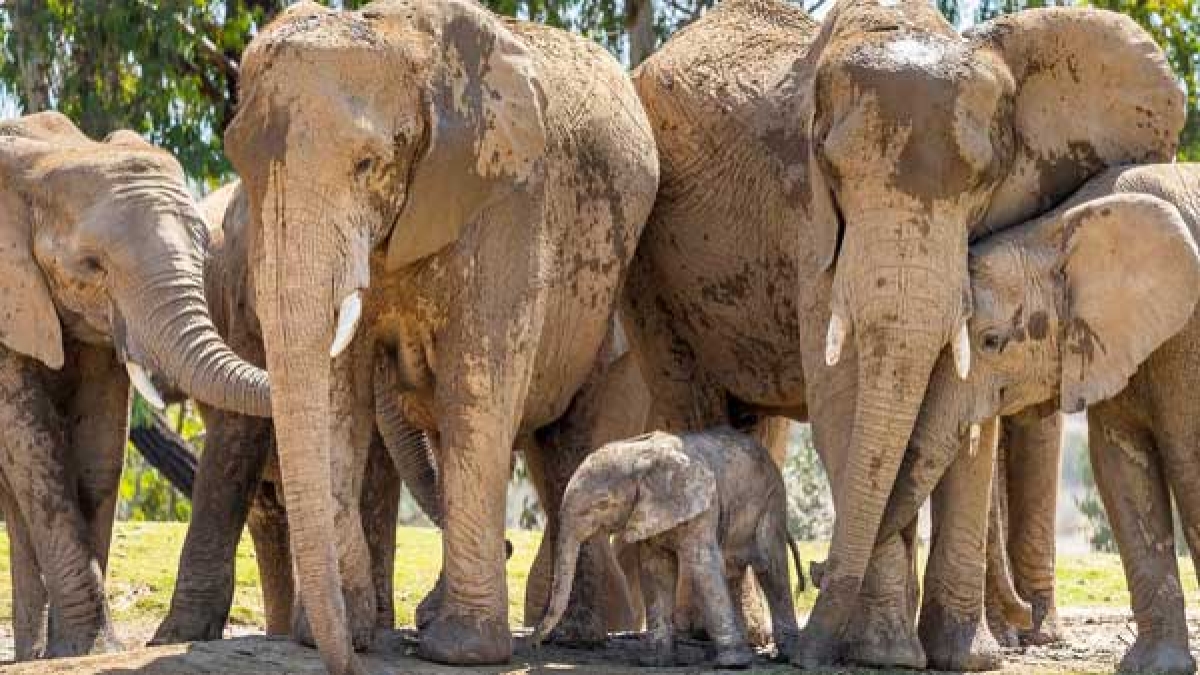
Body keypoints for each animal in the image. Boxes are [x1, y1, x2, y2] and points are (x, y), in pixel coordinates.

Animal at [0, 112, 269, 660]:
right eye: (91, 265)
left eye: (202, 249)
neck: (46, 159)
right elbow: (36, 448)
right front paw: (91, 651)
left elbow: (98, 456)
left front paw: (84, 652)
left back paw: (32, 656)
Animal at [220, 0, 658, 670]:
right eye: (240, 164)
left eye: (367, 165)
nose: (349, 660)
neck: (401, 39)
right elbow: (340, 394)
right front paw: (338, 632)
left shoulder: (509, 198)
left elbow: (474, 390)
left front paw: (462, 650)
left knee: (574, 442)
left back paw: (573, 635)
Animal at [534, 427, 800, 668]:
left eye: (603, 503)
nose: (536, 642)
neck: (641, 455)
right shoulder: (648, 512)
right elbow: (656, 570)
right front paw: (655, 662)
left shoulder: (703, 505)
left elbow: (703, 567)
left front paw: (733, 665)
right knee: (734, 571)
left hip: (772, 498)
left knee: (770, 567)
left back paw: (784, 656)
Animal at [878, 162, 1200, 674]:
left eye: (990, 342)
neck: (1055, 230)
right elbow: (1119, 469)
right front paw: (1152, 666)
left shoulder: (1188, 334)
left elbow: (1189, 457)